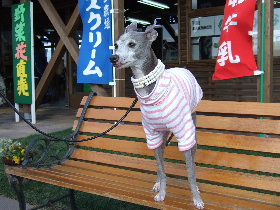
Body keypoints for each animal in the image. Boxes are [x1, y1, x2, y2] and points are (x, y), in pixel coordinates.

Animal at [109, 21, 203, 208]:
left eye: (132, 44)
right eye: (116, 45)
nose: (113, 58)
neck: (151, 88)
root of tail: (184, 68)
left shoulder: (185, 135)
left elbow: (190, 172)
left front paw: (196, 198)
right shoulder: (152, 135)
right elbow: (161, 167)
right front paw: (162, 191)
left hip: (192, 129)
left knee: (193, 159)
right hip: (162, 134)